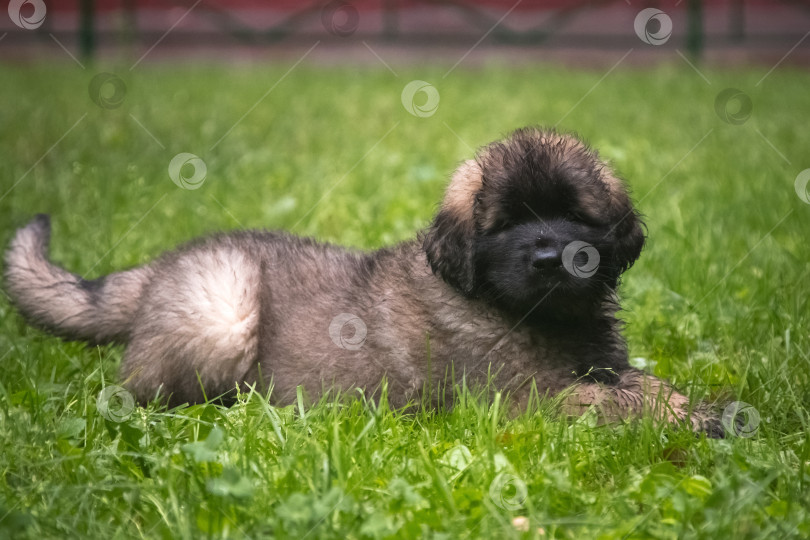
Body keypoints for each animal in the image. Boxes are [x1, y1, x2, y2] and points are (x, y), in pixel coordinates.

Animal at [0, 125, 720, 434]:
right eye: (507, 224)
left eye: (575, 216)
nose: (549, 259)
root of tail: (160, 267)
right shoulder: (520, 398)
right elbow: (613, 401)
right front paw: (686, 421)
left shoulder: (602, 364)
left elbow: (644, 383)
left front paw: (704, 411)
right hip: (222, 317)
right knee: (142, 393)